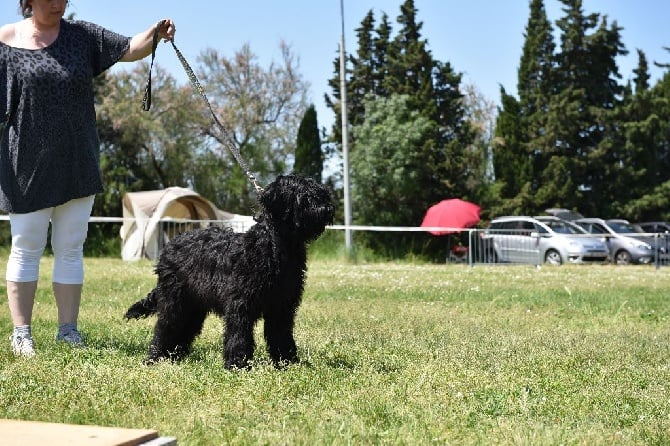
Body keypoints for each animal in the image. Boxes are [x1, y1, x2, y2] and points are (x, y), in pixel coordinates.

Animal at [124, 174, 334, 370]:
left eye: (321, 193)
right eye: (303, 196)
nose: (327, 209)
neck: (275, 247)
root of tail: (169, 247)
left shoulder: (282, 305)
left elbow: (281, 335)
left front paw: (287, 362)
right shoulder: (240, 303)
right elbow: (238, 335)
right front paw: (238, 364)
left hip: (193, 305)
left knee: (184, 330)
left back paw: (174, 358)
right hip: (174, 301)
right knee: (165, 328)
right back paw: (154, 358)